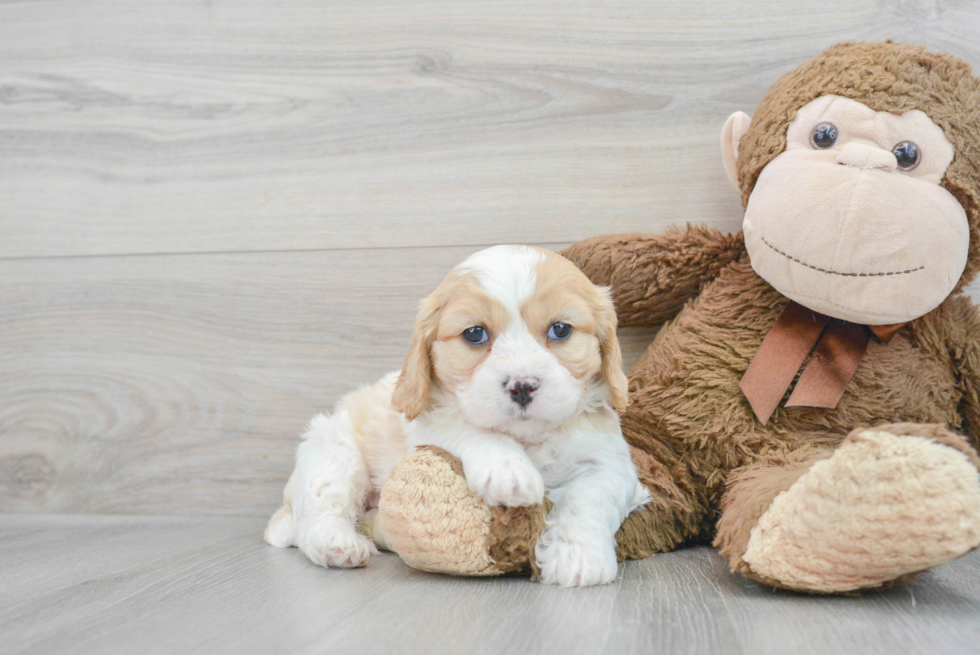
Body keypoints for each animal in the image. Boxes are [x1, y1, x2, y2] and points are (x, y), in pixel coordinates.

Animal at [266, 246, 652, 588]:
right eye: (474, 334)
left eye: (561, 330)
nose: (522, 386)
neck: (527, 437)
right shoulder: (427, 423)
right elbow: (468, 427)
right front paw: (509, 470)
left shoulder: (610, 461)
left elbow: (589, 499)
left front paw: (579, 557)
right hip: (334, 452)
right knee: (320, 513)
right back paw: (338, 544)